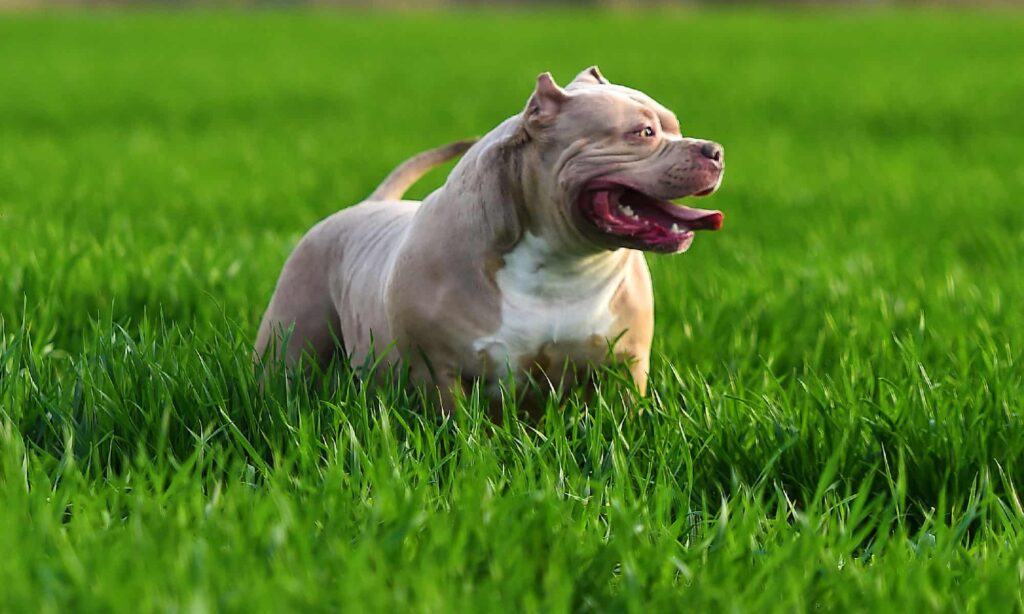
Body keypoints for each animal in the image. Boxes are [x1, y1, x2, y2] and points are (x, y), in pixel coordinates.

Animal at [252, 66, 724, 413]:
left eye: (675, 127)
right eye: (643, 133)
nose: (715, 150)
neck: (562, 261)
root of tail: (370, 203)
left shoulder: (624, 366)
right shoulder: (438, 370)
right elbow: (456, 426)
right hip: (292, 332)